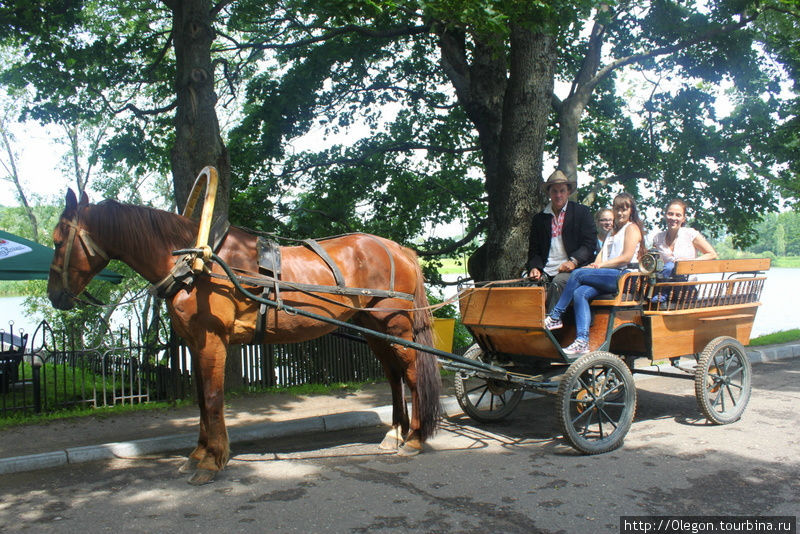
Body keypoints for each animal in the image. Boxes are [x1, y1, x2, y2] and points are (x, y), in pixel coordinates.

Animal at [48, 192, 444, 486]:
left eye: (58, 240)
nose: (55, 296)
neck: (196, 262)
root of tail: (398, 249)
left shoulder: (211, 341)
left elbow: (212, 399)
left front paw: (210, 461)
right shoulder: (194, 344)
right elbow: (200, 400)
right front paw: (198, 454)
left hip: (397, 329)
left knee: (412, 376)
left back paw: (414, 439)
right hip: (375, 329)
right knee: (394, 378)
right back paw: (395, 434)